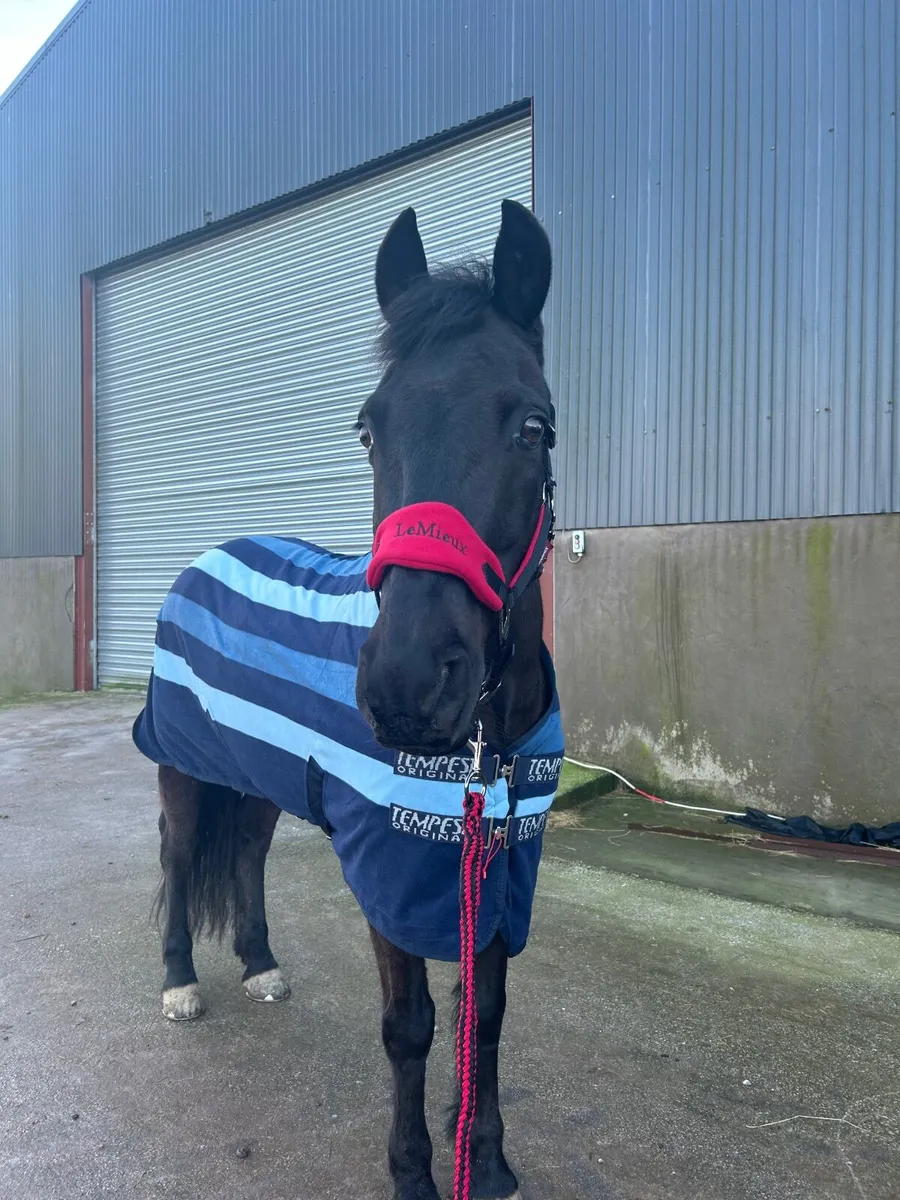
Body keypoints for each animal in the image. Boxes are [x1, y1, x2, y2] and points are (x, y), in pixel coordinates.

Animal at [134, 197, 561, 1200]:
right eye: (369, 429)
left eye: (533, 427)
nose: (407, 683)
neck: (488, 745)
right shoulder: (392, 875)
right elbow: (412, 1028)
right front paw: (413, 1175)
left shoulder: (504, 866)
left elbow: (486, 1014)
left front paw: (487, 1164)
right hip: (181, 765)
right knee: (181, 855)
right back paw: (181, 984)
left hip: (258, 778)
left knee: (246, 854)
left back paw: (260, 965)